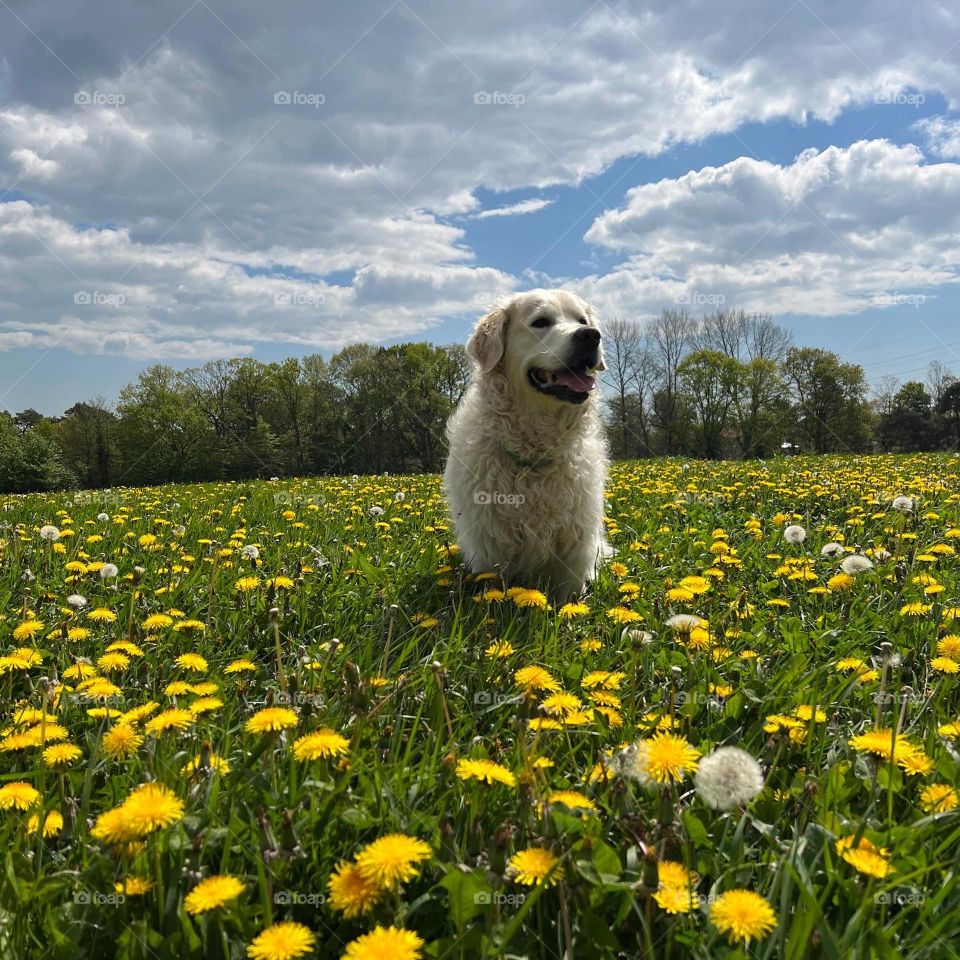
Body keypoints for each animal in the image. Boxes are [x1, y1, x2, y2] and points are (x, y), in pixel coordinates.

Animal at [446, 288, 612, 596]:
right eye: (540, 322)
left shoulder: (577, 540)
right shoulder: (489, 542)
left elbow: (569, 594)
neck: (534, 453)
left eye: (581, 320)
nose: (590, 335)